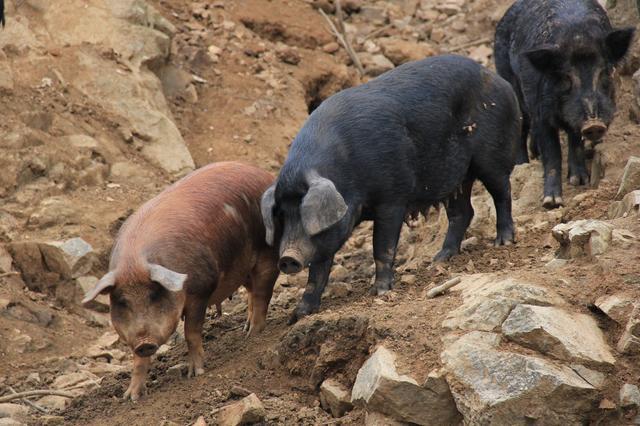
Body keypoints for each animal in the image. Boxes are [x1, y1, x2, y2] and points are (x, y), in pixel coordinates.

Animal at [82, 161, 278, 402]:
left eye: (154, 295)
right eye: (121, 301)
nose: (144, 342)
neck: (134, 264)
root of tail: (263, 173)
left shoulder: (201, 289)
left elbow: (191, 333)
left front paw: (195, 374)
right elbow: (138, 361)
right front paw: (130, 397)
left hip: (267, 251)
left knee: (262, 294)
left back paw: (252, 337)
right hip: (243, 269)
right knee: (252, 293)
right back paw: (245, 329)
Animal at [262, 55, 524, 324]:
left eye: (304, 214)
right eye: (282, 216)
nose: (288, 258)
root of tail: (499, 80)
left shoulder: (392, 197)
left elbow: (382, 246)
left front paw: (380, 291)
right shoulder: (328, 235)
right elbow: (318, 269)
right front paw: (298, 315)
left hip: (492, 156)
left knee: (503, 193)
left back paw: (502, 242)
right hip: (458, 178)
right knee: (463, 212)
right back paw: (439, 259)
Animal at [492, 0, 632, 208]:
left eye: (604, 72)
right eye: (566, 77)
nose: (594, 124)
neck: (578, 37)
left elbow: (575, 141)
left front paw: (579, 181)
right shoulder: (541, 113)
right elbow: (552, 153)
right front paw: (551, 202)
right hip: (509, 80)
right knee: (522, 124)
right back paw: (522, 165)